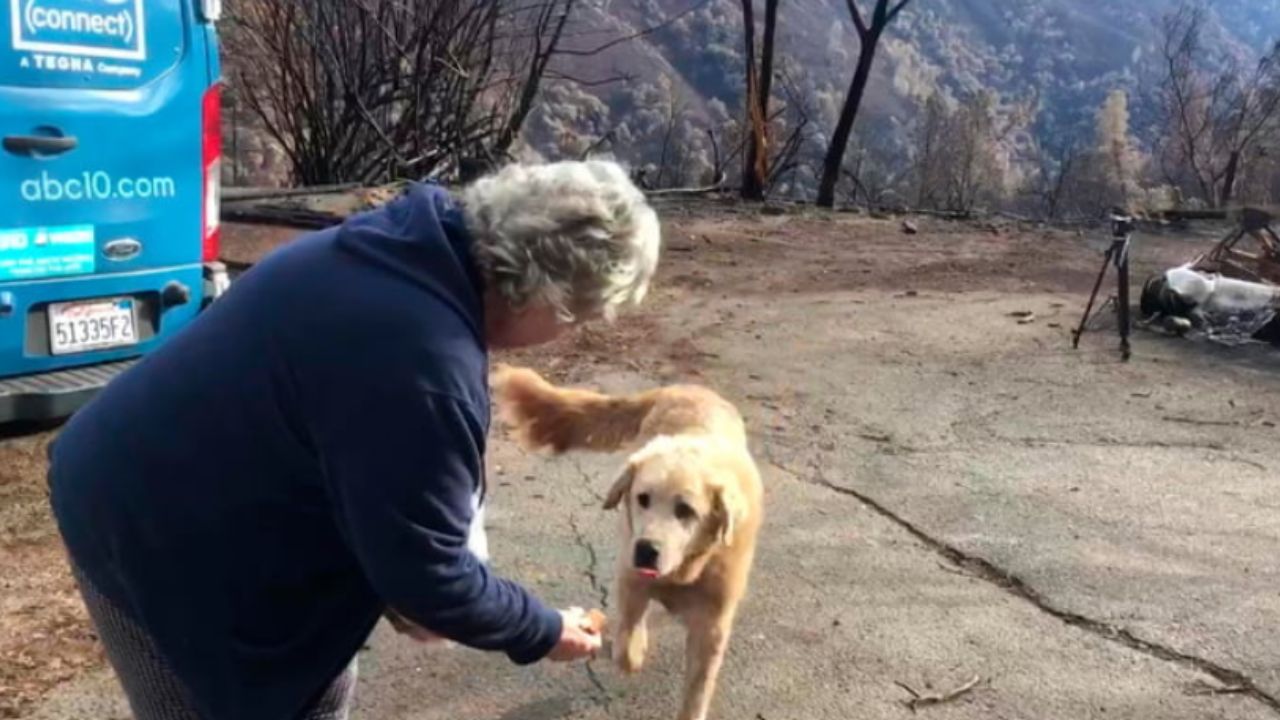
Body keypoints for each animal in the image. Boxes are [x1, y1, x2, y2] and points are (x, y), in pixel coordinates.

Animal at [488, 363, 757, 717]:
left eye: (685, 510)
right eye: (643, 498)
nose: (645, 550)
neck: (683, 571)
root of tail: (684, 388)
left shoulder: (712, 625)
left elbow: (697, 690)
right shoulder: (631, 579)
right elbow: (627, 642)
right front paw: (634, 648)